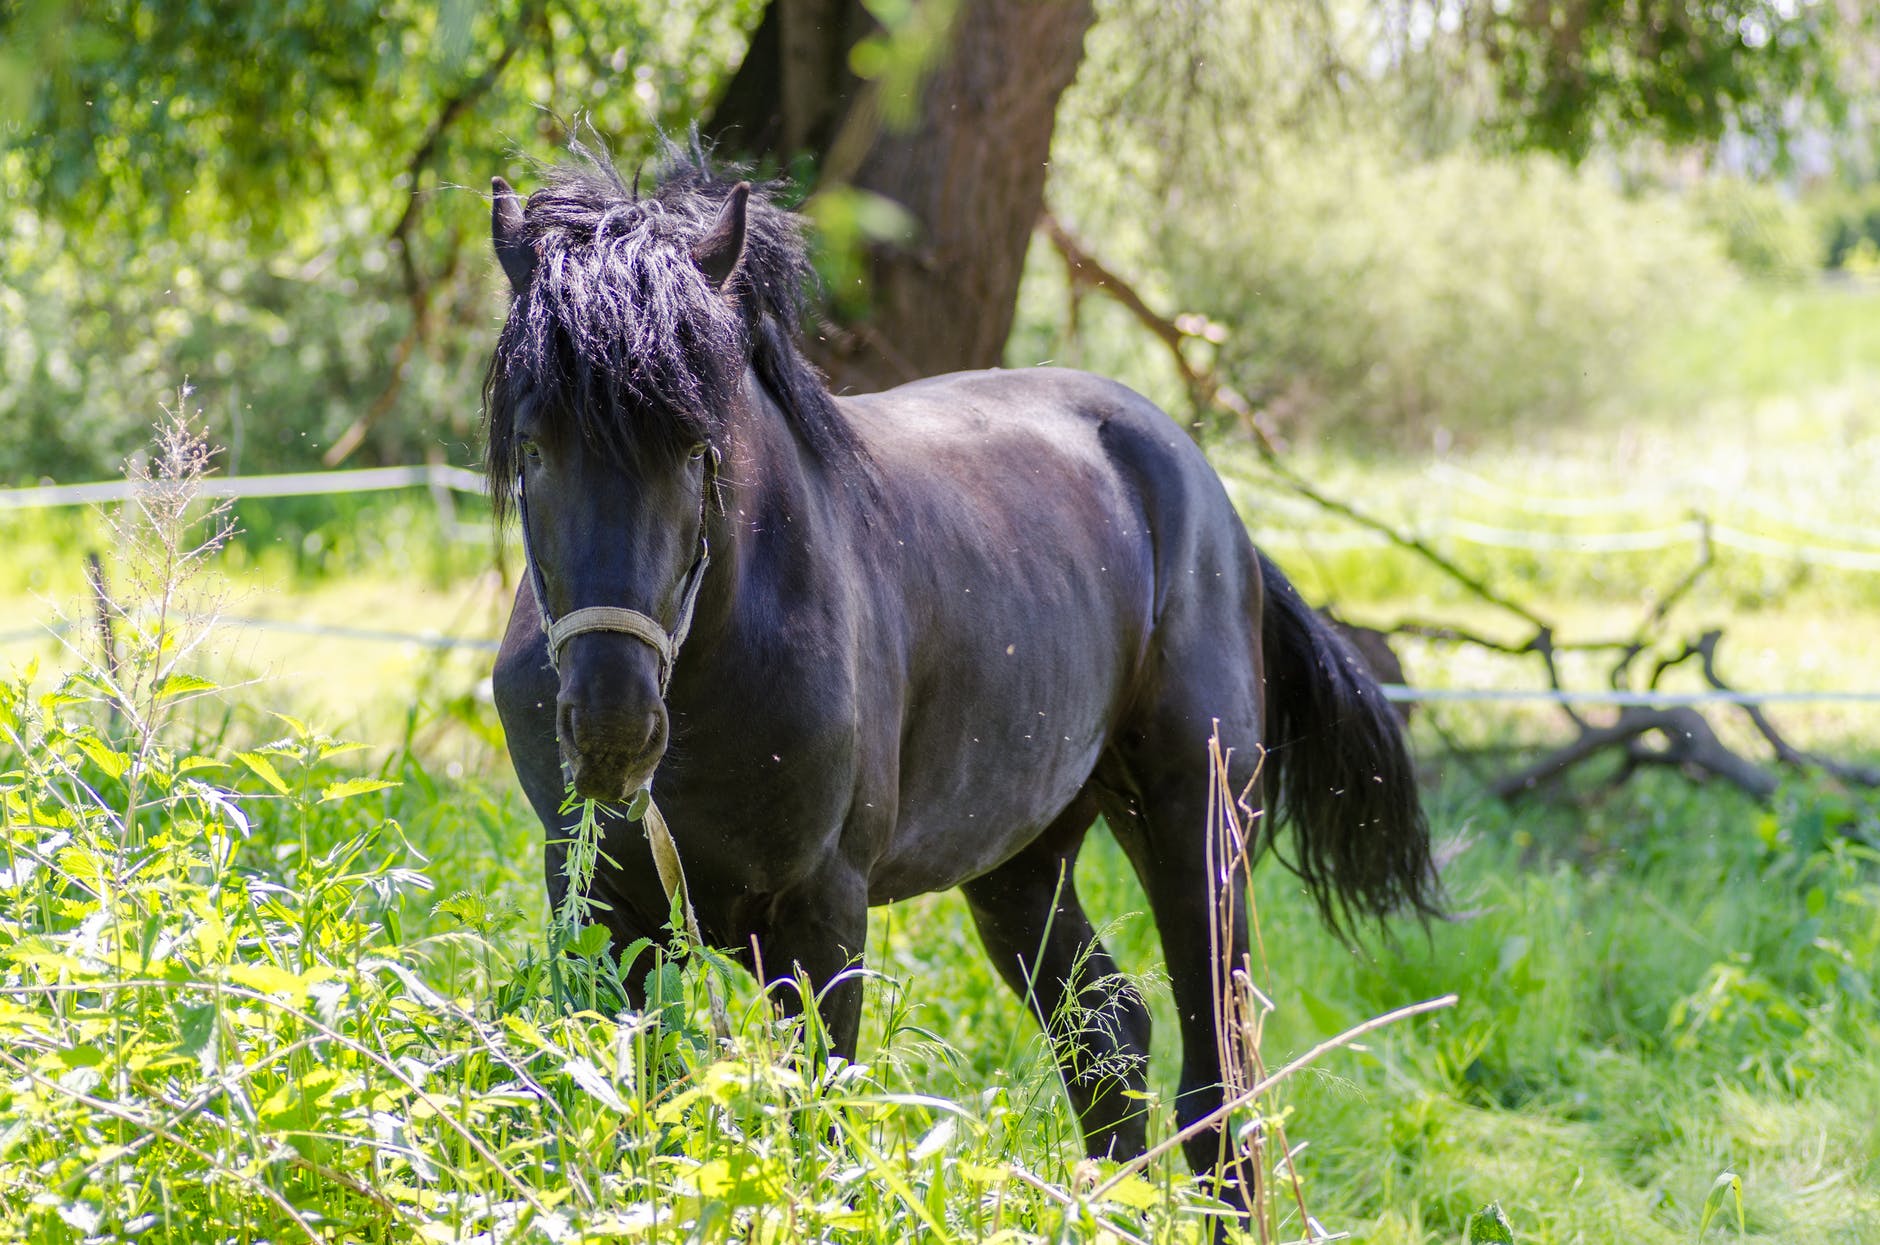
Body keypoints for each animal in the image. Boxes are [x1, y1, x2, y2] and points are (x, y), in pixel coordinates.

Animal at [488, 153, 1436, 1203]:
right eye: (532, 446)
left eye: (698, 448)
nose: (613, 728)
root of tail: (1212, 503)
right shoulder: (602, 903)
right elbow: (630, 1112)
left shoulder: (821, 917)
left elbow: (813, 1126)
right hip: (1024, 859)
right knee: (1107, 1032)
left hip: (1198, 825)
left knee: (1216, 1090)